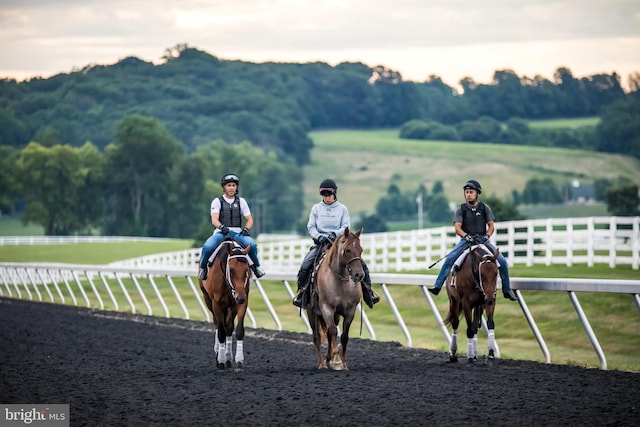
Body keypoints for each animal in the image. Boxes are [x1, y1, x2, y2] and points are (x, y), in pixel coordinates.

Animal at [199, 241, 251, 372]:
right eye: (231, 270)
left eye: (247, 270)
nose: (240, 297)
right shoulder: (216, 303)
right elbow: (221, 331)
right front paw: (221, 361)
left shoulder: (241, 302)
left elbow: (238, 330)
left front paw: (238, 359)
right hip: (208, 300)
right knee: (218, 324)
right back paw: (218, 353)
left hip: (230, 306)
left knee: (228, 326)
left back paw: (228, 358)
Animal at [306, 227, 364, 372]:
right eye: (347, 250)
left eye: (361, 249)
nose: (359, 275)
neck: (340, 280)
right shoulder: (327, 308)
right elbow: (332, 331)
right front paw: (337, 361)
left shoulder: (350, 311)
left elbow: (344, 336)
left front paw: (343, 363)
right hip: (311, 312)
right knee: (317, 336)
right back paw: (321, 363)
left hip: (336, 315)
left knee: (327, 334)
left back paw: (327, 360)